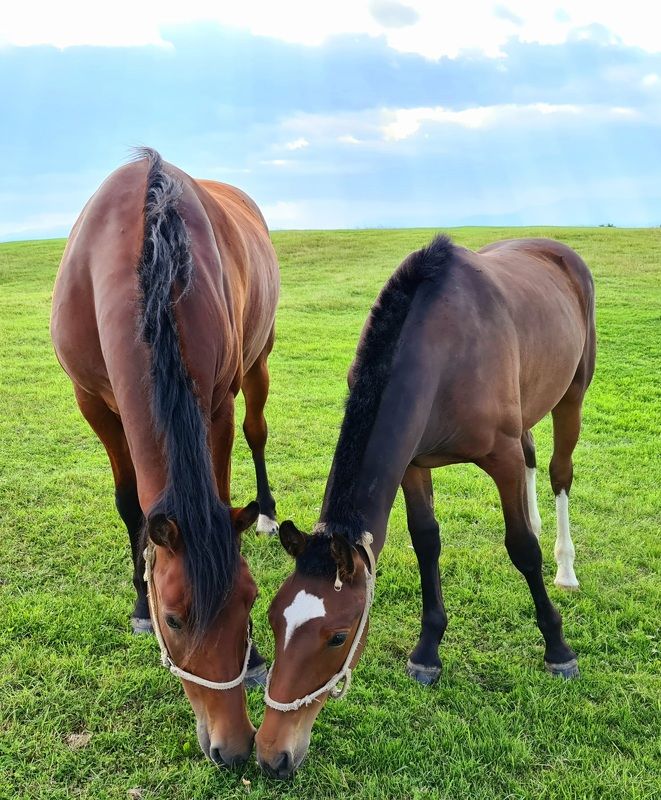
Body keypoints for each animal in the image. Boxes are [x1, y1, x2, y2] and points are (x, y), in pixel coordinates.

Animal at [51, 149, 280, 767]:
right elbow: (130, 505)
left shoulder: (217, 402)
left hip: (260, 357)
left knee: (257, 431)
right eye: (173, 619)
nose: (234, 747)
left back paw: (269, 509)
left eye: (250, 602)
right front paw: (137, 599)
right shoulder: (93, 406)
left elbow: (221, 490)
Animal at [255, 234, 595, 777]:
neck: (443, 350)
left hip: (573, 395)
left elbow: (522, 548)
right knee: (531, 452)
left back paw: (564, 567)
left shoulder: (498, 458)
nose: (271, 754)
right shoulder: (414, 464)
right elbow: (426, 543)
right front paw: (428, 649)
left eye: (338, 636)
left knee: (559, 472)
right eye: (273, 618)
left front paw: (558, 647)